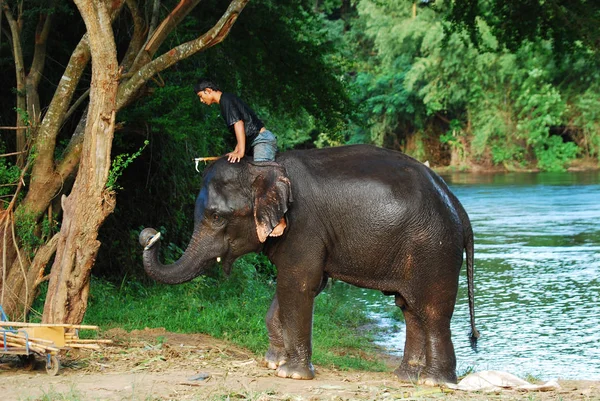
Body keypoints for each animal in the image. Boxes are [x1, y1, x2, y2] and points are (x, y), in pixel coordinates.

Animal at [139, 144, 478, 384]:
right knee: (408, 307)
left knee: (431, 310)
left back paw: (435, 382)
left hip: (433, 247)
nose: (149, 234)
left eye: (216, 216)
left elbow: (297, 284)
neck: (262, 167)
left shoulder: (304, 227)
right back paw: (407, 377)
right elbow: (296, 287)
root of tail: (458, 206)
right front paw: (273, 362)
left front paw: (292, 374)